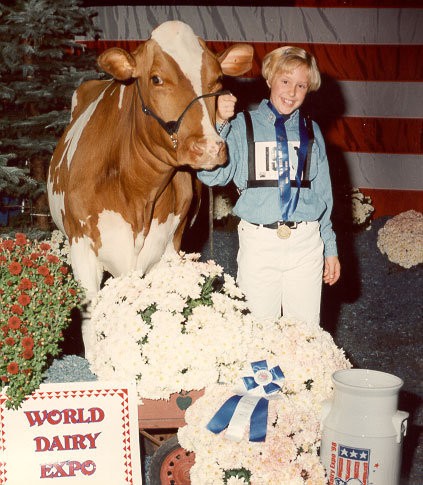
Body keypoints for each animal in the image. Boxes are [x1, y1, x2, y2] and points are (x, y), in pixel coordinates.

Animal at [47, 20, 252, 358]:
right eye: (156, 78)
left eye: (218, 78)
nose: (209, 148)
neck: (138, 193)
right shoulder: (82, 249)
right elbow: (91, 322)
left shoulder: (169, 248)